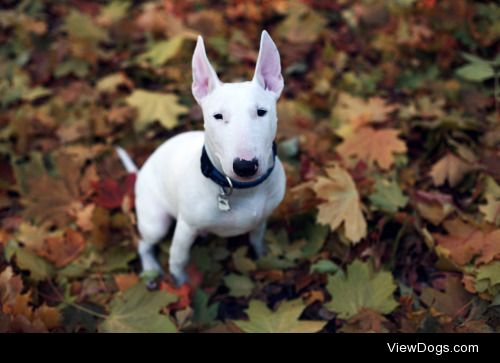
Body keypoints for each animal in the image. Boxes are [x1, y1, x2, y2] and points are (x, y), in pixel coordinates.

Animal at [116, 31, 286, 286]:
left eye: (261, 112)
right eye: (218, 116)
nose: (245, 166)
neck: (243, 191)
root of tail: (141, 172)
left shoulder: (261, 220)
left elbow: (257, 240)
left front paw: (263, 257)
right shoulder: (186, 228)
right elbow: (178, 260)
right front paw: (181, 286)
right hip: (155, 221)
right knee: (144, 243)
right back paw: (151, 269)